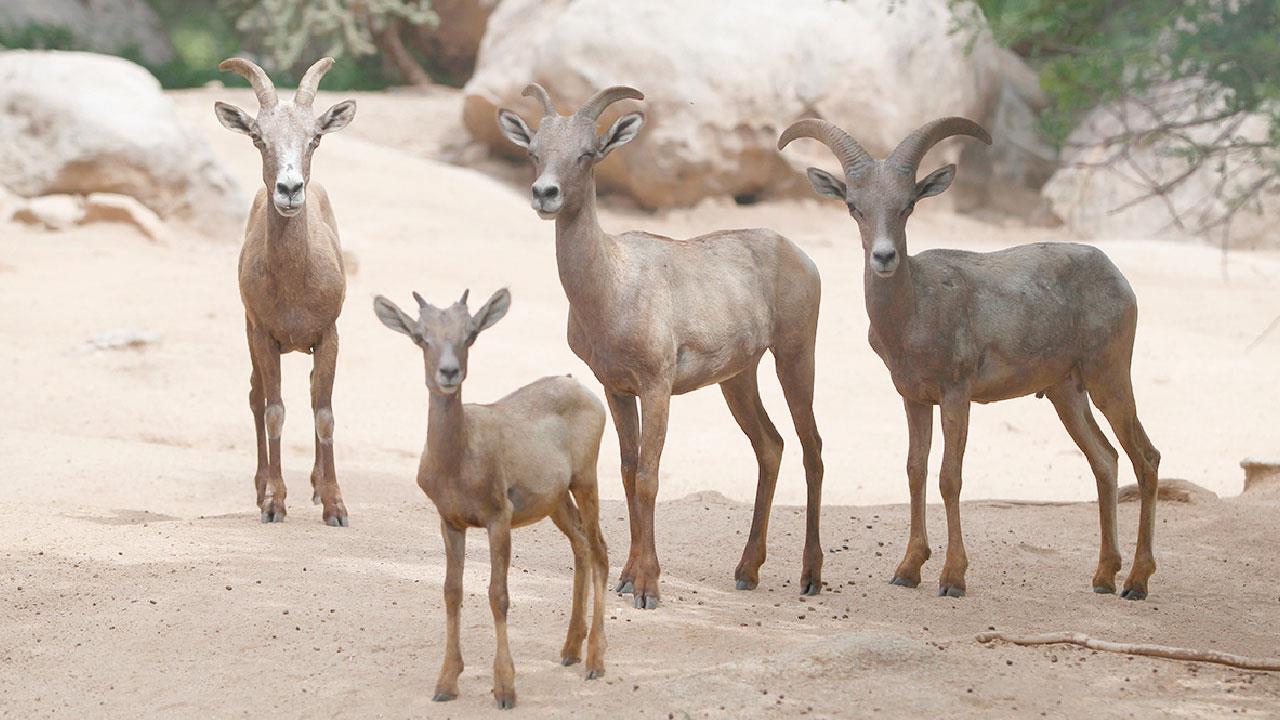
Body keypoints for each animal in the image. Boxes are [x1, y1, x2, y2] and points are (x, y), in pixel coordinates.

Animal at [213, 56, 355, 525]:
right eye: (259, 138)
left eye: (315, 138)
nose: (290, 190)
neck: (295, 287)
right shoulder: (263, 335)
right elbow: (274, 411)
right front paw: (274, 501)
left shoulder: (328, 336)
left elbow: (324, 413)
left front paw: (335, 505)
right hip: (250, 334)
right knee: (257, 398)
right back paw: (263, 489)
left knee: (310, 392)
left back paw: (314, 484)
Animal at [371, 286, 609, 707]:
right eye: (420, 336)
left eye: (470, 334)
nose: (448, 372)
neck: (458, 460)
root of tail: (582, 388)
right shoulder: (451, 522)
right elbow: (452, 592)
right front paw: (446, 684)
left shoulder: (499, 518)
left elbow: (498, 595)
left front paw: (505, 689)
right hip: (557, 502)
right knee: (581, 546)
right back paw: (569, 650)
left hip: (586, 480)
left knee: (600, 551)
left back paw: (595, 662)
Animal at [494, 82, 824, 604]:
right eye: (534, 152)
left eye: (588, 153)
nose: (545, 194)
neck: (612, 287)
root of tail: (802, 257)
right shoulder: (616, 389)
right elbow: (629, 474)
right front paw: (626, 578)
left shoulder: (656, 387)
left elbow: (649, 476)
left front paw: (647, 586)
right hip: (739, 379)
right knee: (770, 446)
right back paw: (746, 571)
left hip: (794, 356)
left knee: (812, 447)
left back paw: (811, 576)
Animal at [778, 119, 1162, 599]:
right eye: (853, 206)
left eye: (907, 205)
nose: (884, 256)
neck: (916, 310)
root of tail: (1119, 278)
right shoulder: (915, 399)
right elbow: (915, 470)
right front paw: (907, 570)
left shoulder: (956, 395)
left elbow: (950, 477)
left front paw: (952, 578)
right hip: (1067, 394)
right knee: (1106, 461)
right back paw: (1104, 577)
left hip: (1109, 376)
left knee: (1146, 458)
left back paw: (1137, 582)